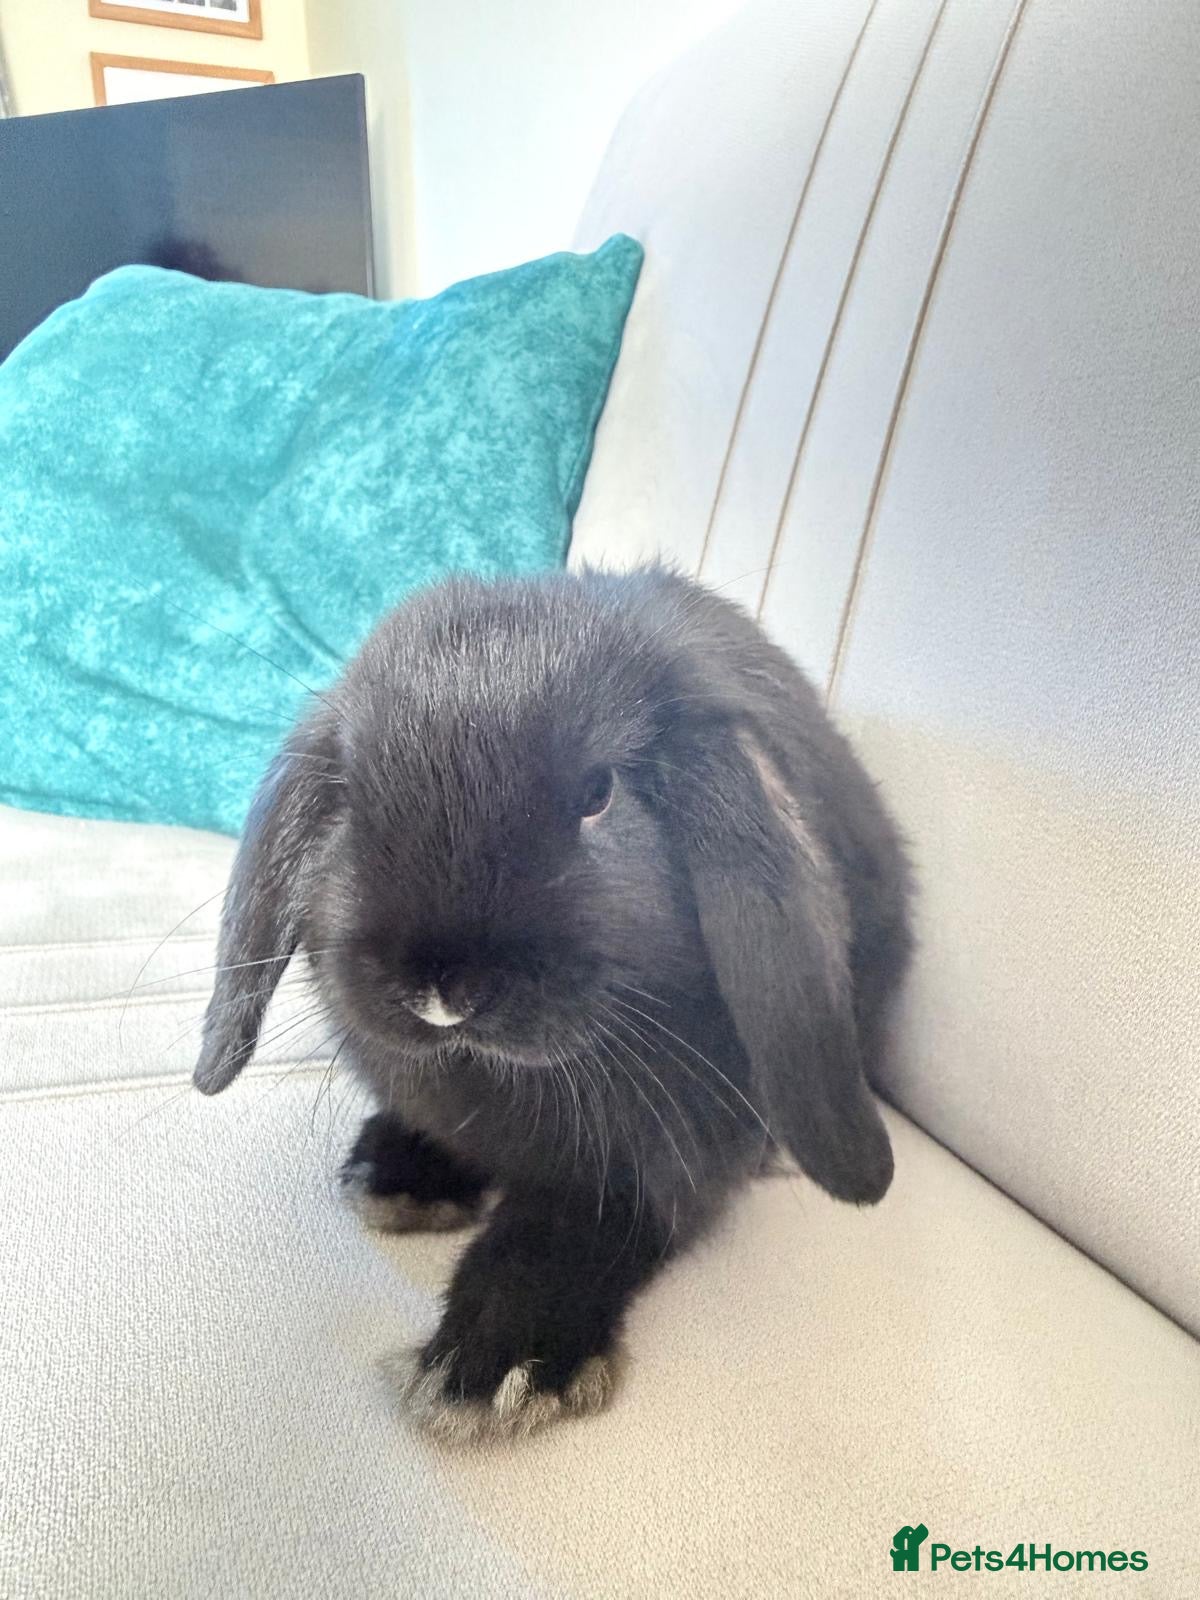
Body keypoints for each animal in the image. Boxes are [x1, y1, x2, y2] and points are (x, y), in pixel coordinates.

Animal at [194, 565, 912, 1442]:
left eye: (598, 793)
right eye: (354, 797)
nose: (441, 988)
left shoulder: (659, 1163)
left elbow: (575, 1231)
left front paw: (497, 1366)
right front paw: (402, 1177)